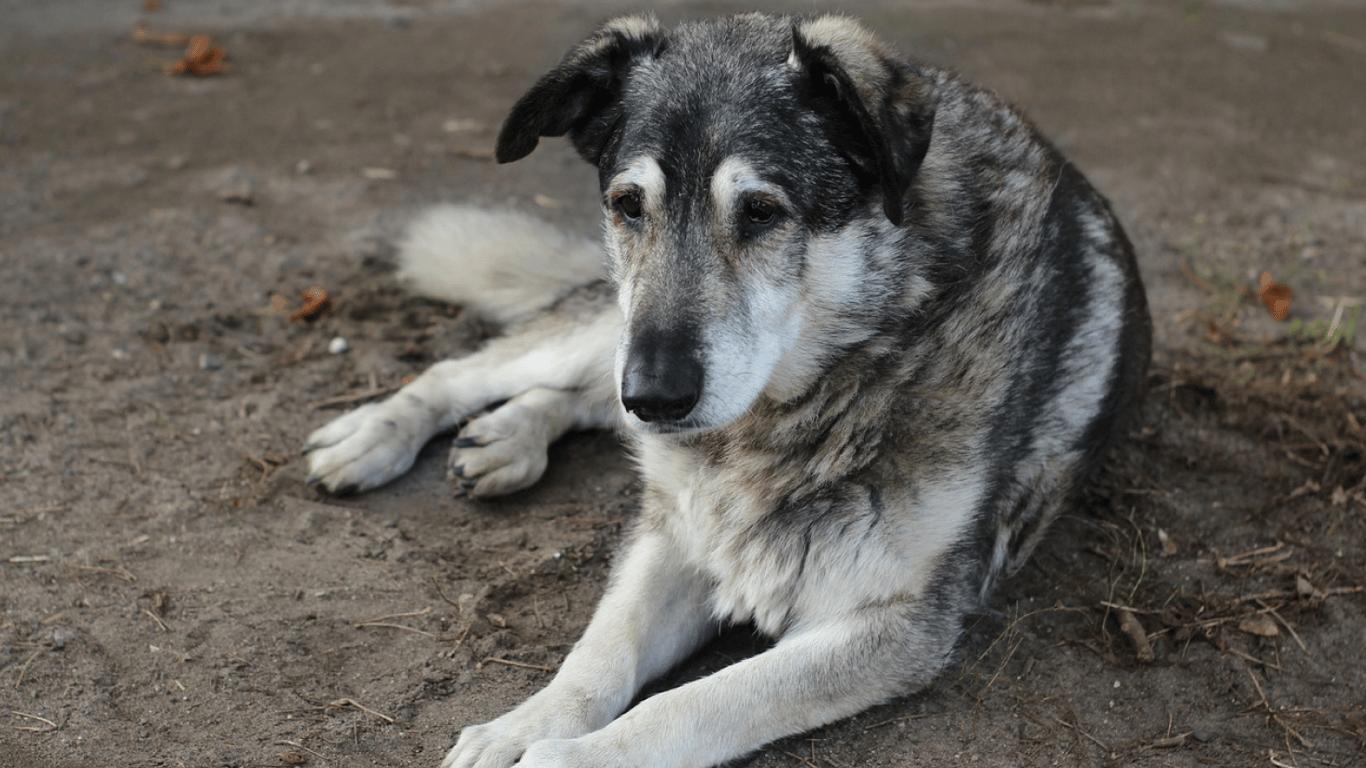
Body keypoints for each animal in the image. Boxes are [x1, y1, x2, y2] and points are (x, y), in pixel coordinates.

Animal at [301, 11, 1152, 765]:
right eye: (628, 204)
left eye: (762, 211)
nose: (657, 395)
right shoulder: (674, 535)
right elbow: (598, 657)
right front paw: (523, 726)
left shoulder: (895, 624)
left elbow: (688, 706)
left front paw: (564, 756)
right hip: (613, 329)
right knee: (480, 372)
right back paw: (379, 437)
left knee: (582, 399)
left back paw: (509, 438)